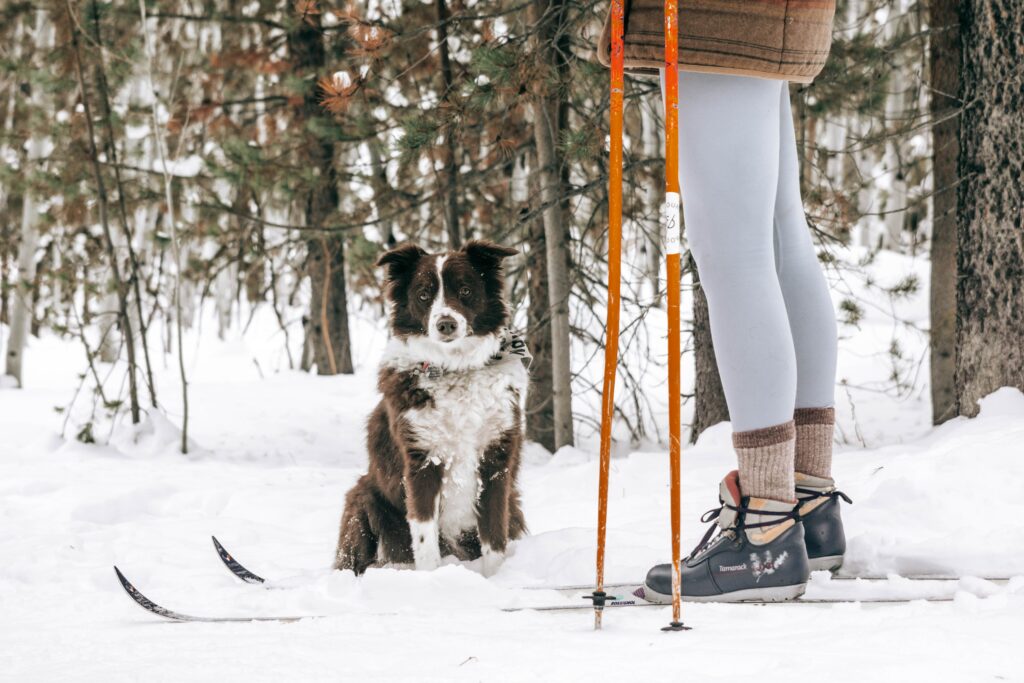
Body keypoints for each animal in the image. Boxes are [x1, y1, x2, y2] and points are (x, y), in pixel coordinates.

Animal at [333, 240, 528, 577]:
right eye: (424, 294)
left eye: (465, 290)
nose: (445, 324)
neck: (455, 369)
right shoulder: (422, 461)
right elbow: (424, 538)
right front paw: (432, 580)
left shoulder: (496, 460)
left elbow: (494, 536)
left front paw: (494, 579)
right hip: (363, 497)